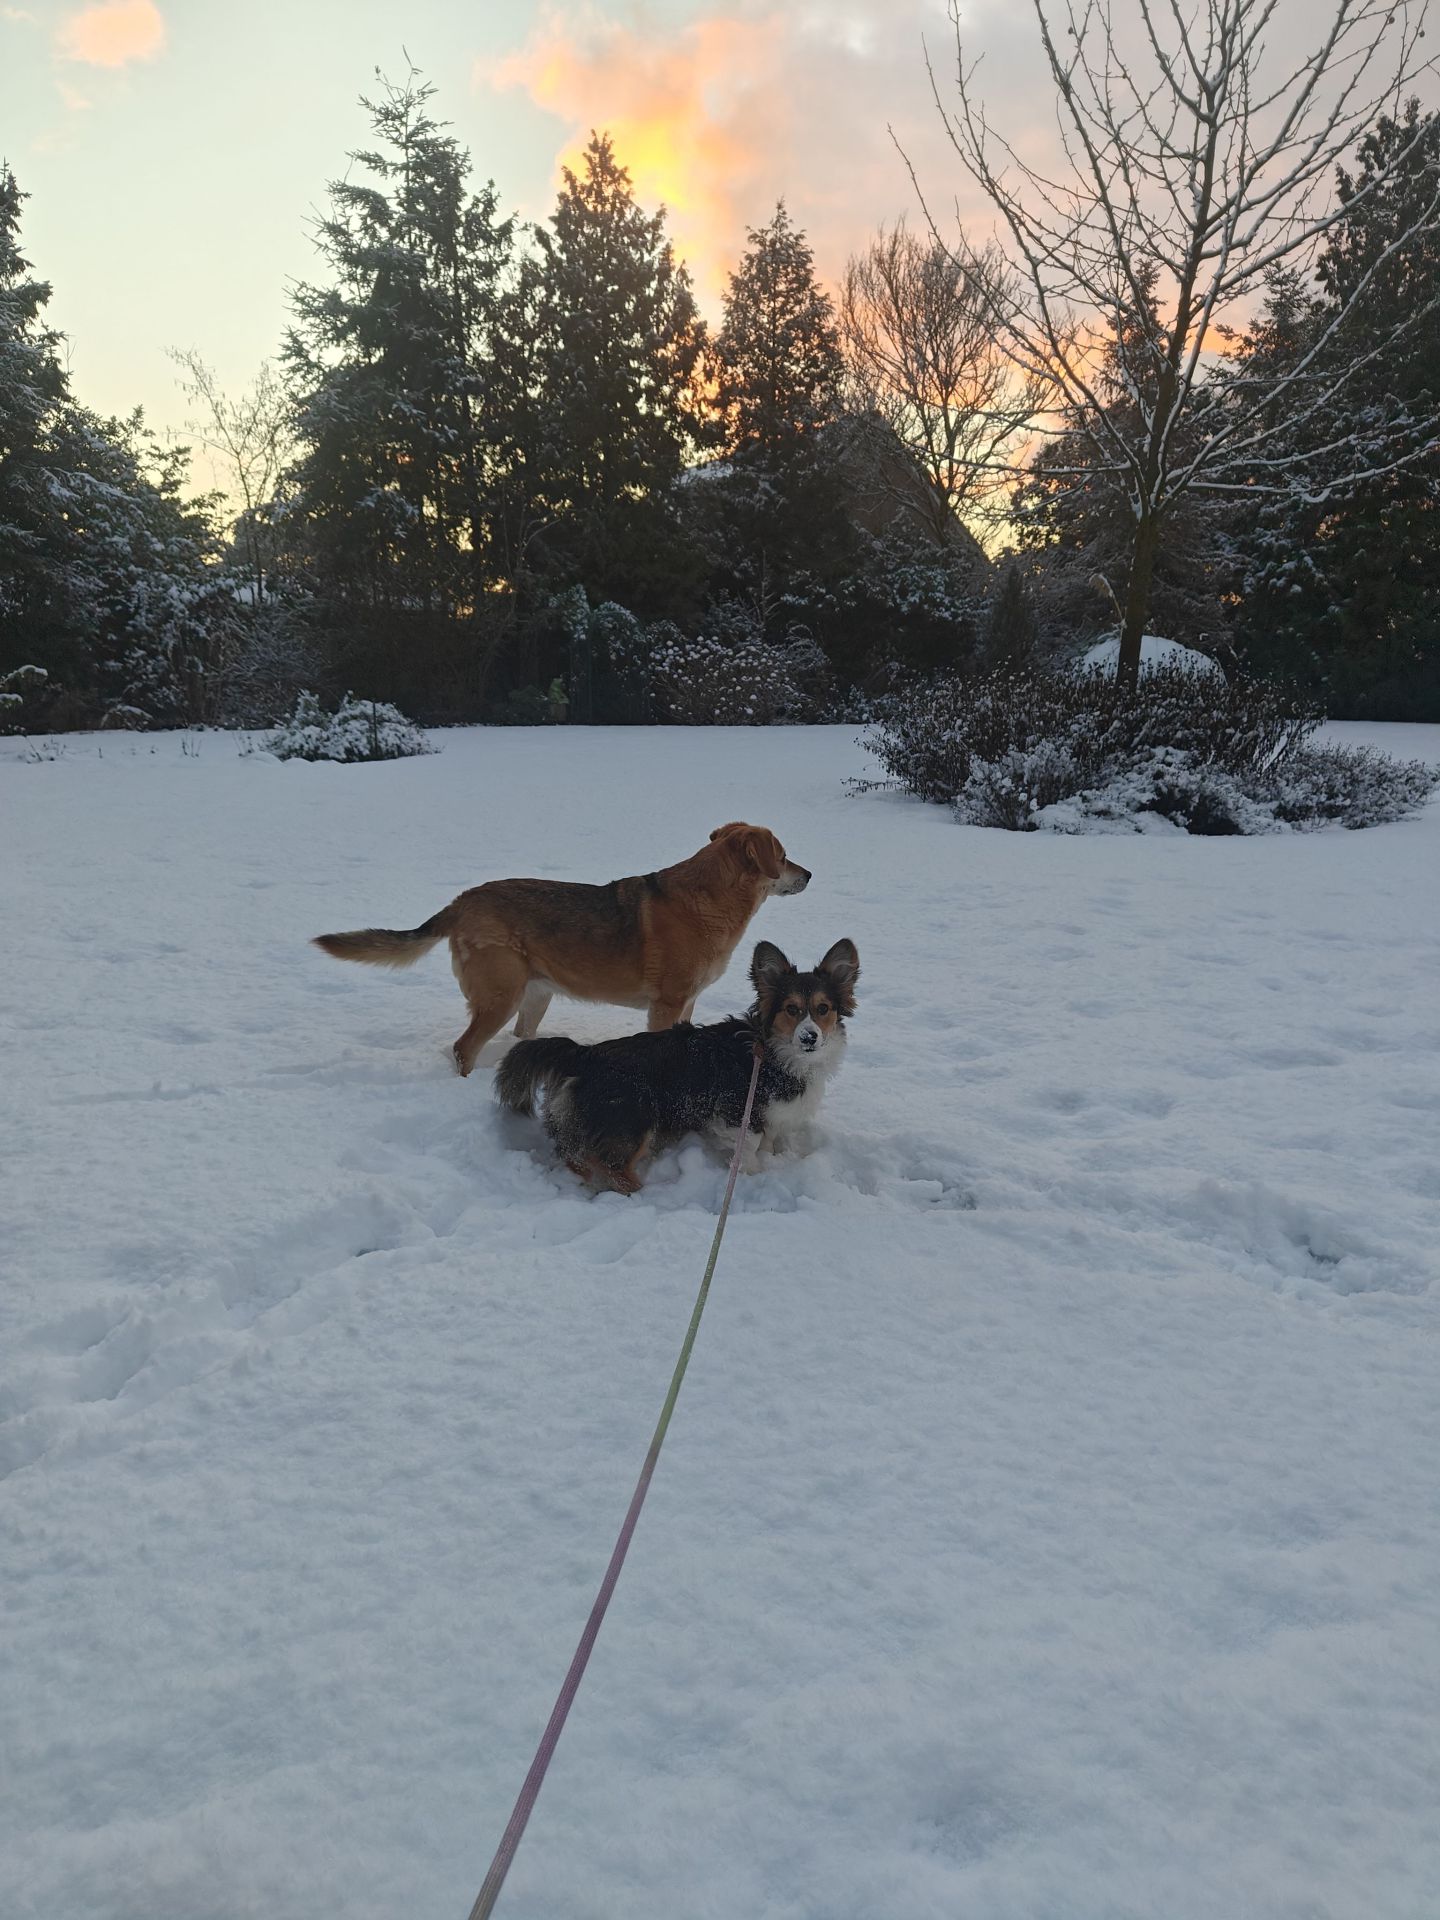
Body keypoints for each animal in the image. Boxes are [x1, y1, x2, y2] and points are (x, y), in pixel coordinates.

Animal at [313, 824, 811, 1075]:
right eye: (783, 854)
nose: (809, 874)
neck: (709, 899)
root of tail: (462, 901)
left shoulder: (685, 1003)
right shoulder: (667, 1004)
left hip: (535, 998)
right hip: (501, 998)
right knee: (463, 1048)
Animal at [494, 938, 858, 1192]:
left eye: (823, 1008)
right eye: (791, 1009)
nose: (810, 1037)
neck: (771, 1052)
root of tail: (584, 1054)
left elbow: (767, 1141)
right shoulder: (737, 1112)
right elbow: (750, 1146)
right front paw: (752, 1176)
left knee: (573, 1153)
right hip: (635, 1116)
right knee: (611, 1165)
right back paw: (641, 1192)